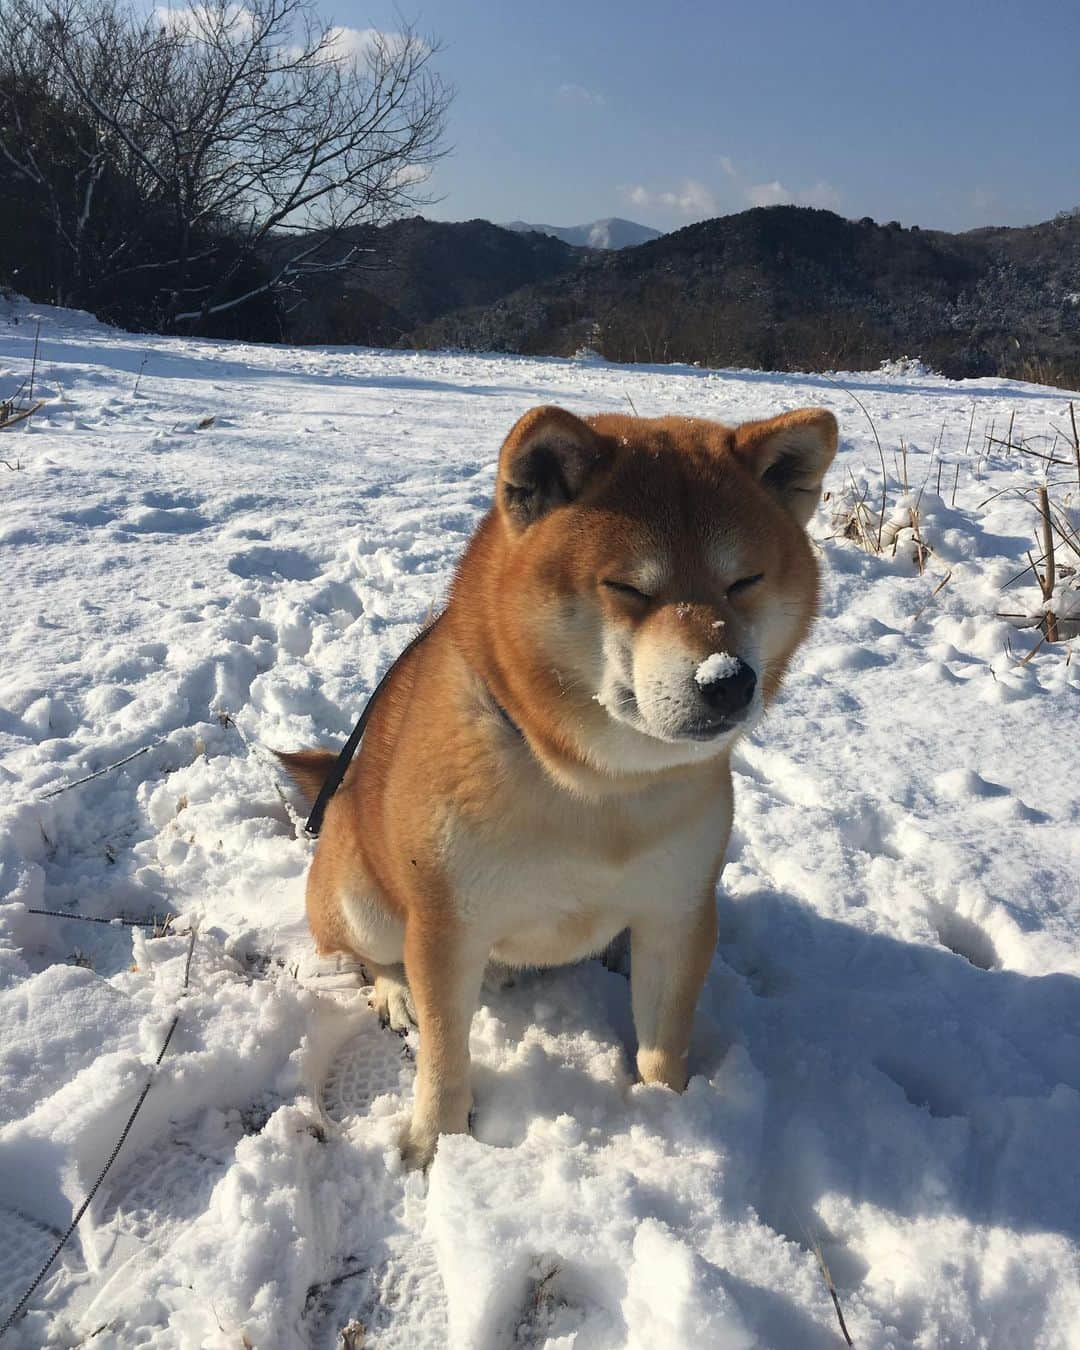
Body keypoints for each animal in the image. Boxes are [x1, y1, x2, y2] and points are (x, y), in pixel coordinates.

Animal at [278, 402, 837, 1171]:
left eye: (744, 581)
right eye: (630, 588)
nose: (727, 681)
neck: (597, 789)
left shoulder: (679, 911)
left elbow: (663, 1042)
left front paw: (668, 1115)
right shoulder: (446, 927)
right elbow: (445, 1057)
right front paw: (437, 1142)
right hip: (363, 894)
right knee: (368, 953)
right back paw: (394, 992)